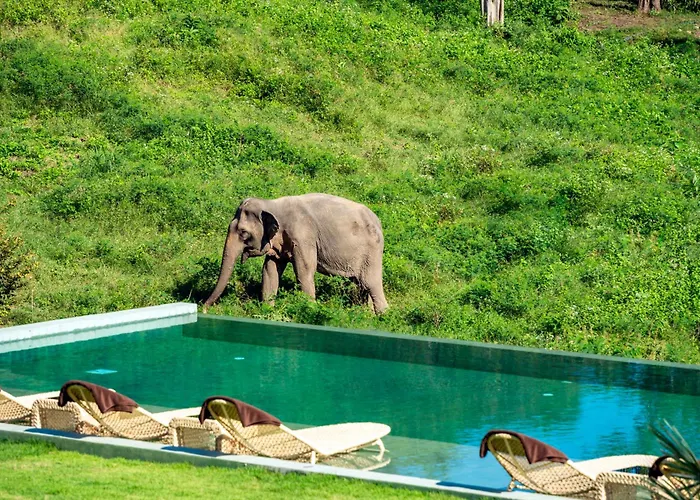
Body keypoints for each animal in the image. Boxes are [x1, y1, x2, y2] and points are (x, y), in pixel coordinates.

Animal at [202, 193, 389, 314]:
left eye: (243, 233)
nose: (203, 308)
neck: (272, 205)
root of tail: (379, 222)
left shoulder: (304, 235)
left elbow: (304, 270)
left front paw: (310, 309)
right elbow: (269, 270)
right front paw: (267, 310)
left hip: (372, 252)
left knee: (371, 283)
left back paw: (382, 316)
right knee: (361, 284)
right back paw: (366, 314)